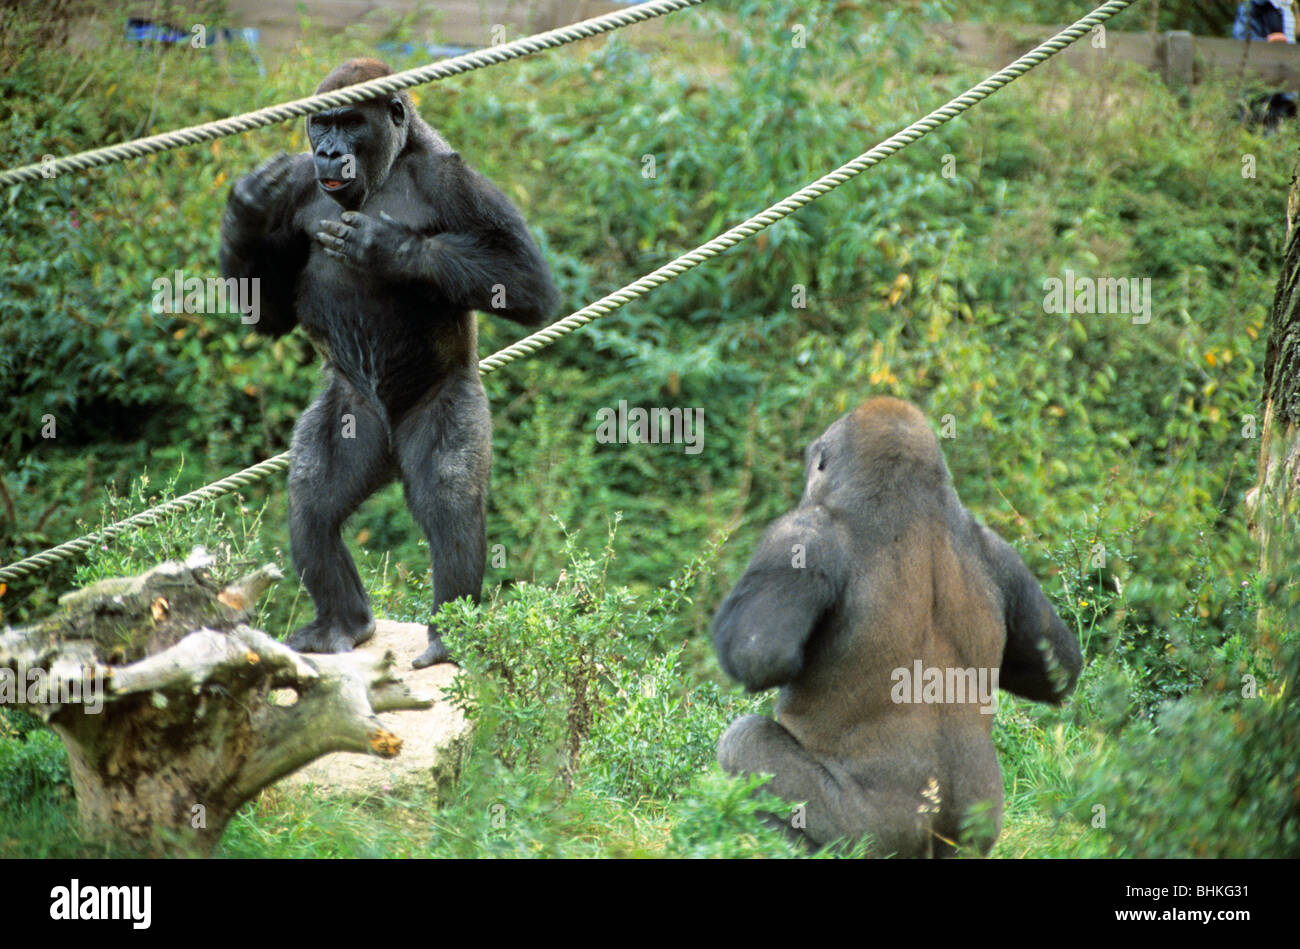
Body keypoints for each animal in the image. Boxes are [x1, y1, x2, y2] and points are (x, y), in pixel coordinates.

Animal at [223, 57, 559, 665]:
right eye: (322, 122)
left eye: (351, 121)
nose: (329, 151)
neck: (387, 170)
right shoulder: (299, 186)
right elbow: (268, 315)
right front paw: (245, 212)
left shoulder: (452, 178)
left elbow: (524, 279)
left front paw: (388, 249)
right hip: (356, 413)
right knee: (313, 499)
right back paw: (345, 621)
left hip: (450, 401)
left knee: (449, 494)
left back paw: (450, 632)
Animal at [717, 395, 1081, 852]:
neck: (907, 498)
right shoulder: (1001, 550)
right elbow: (1059, 669)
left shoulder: (799, 532)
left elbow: (759, 655)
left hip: (870, 830)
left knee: (744, 742)